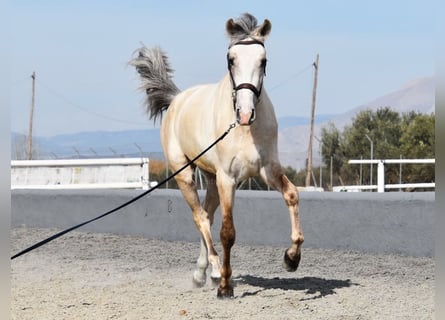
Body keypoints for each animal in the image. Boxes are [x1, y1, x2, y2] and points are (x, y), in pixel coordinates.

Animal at [128, 12, 302, 298]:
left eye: (263, 60)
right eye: (231, 59)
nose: (245, 112)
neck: (245, 129)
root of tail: (177, 100)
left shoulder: (267, 170)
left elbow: (291, 195)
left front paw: (292, 258)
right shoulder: (228, 178)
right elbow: (227, 232)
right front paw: (224, 287)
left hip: (210, 179)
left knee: (206, 217)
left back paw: (203, 272)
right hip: (186, 175)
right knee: (200, 217)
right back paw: (215, 271)